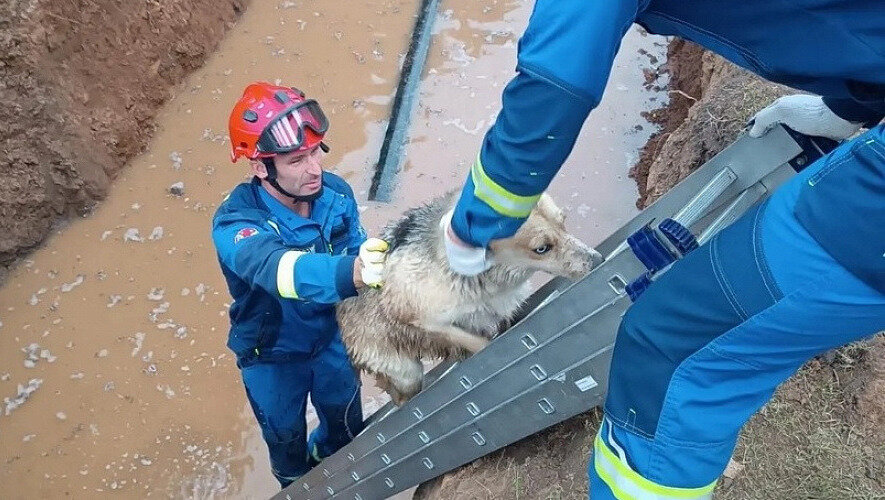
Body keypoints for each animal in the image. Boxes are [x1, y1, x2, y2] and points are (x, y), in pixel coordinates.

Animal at [334, 191, 604, 406]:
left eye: (563, 223)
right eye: (542, 248)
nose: (597, 260)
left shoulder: (501, 306)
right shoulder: (426, 320)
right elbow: (480, 344)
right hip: (407, 372)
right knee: (400, 396)